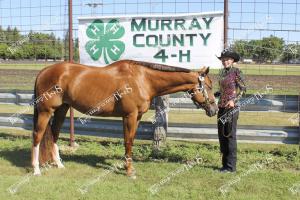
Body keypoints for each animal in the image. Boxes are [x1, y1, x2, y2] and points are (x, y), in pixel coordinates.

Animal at [31, 59, 217, 177]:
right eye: (208, 86)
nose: (214, 110)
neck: (143, 79)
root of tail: (43, 72)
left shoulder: (136, 117)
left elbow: (130, 140)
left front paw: (128, 167)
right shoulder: (130, 116)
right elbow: (128, 141)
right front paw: (129, 171)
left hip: (62, 109)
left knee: (54, 133)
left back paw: (59, 164)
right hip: (45, 111)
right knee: (38, 136)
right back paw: (36, 170)